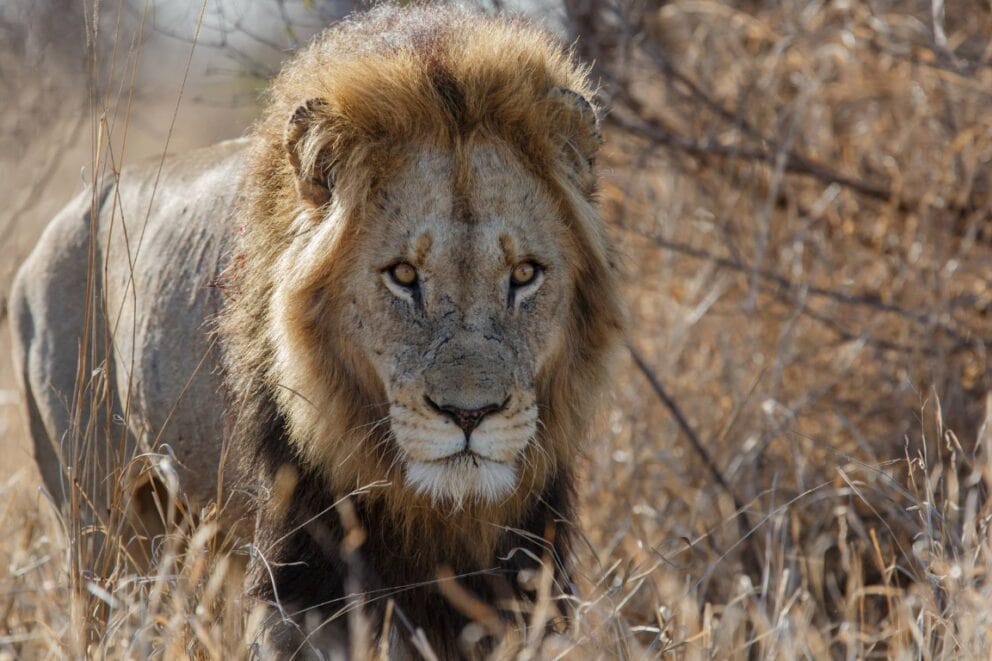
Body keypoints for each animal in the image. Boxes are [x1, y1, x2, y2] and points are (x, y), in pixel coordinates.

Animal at [10, 4, 623, 656]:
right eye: (403, 275)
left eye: (524, 274)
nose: (469, 414)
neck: (434, 506)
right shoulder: (300, 582)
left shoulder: (522, 574)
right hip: (102, 522)